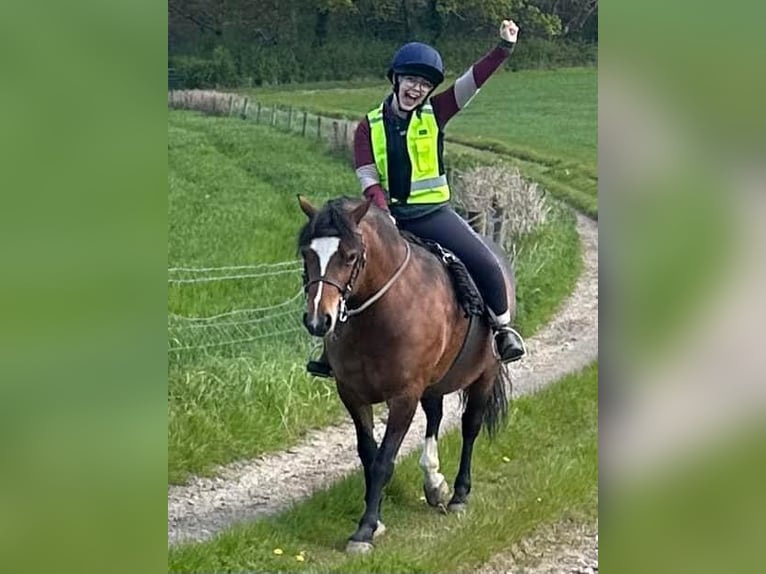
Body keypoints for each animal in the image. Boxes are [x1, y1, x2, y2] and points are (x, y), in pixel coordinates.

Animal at [296, 197, 512, 552]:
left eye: (350, 256)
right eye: (307, 253)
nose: (318, 320)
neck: (379, 313)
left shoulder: (403, 397)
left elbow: (384, 460)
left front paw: (365, 530)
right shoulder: (352, 394)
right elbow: (368, 456)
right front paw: (377, 520)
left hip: (485, 374)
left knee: (470, 427)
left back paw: (459, 495)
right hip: (435, 382)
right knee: (436, 416)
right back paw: (434, 483)